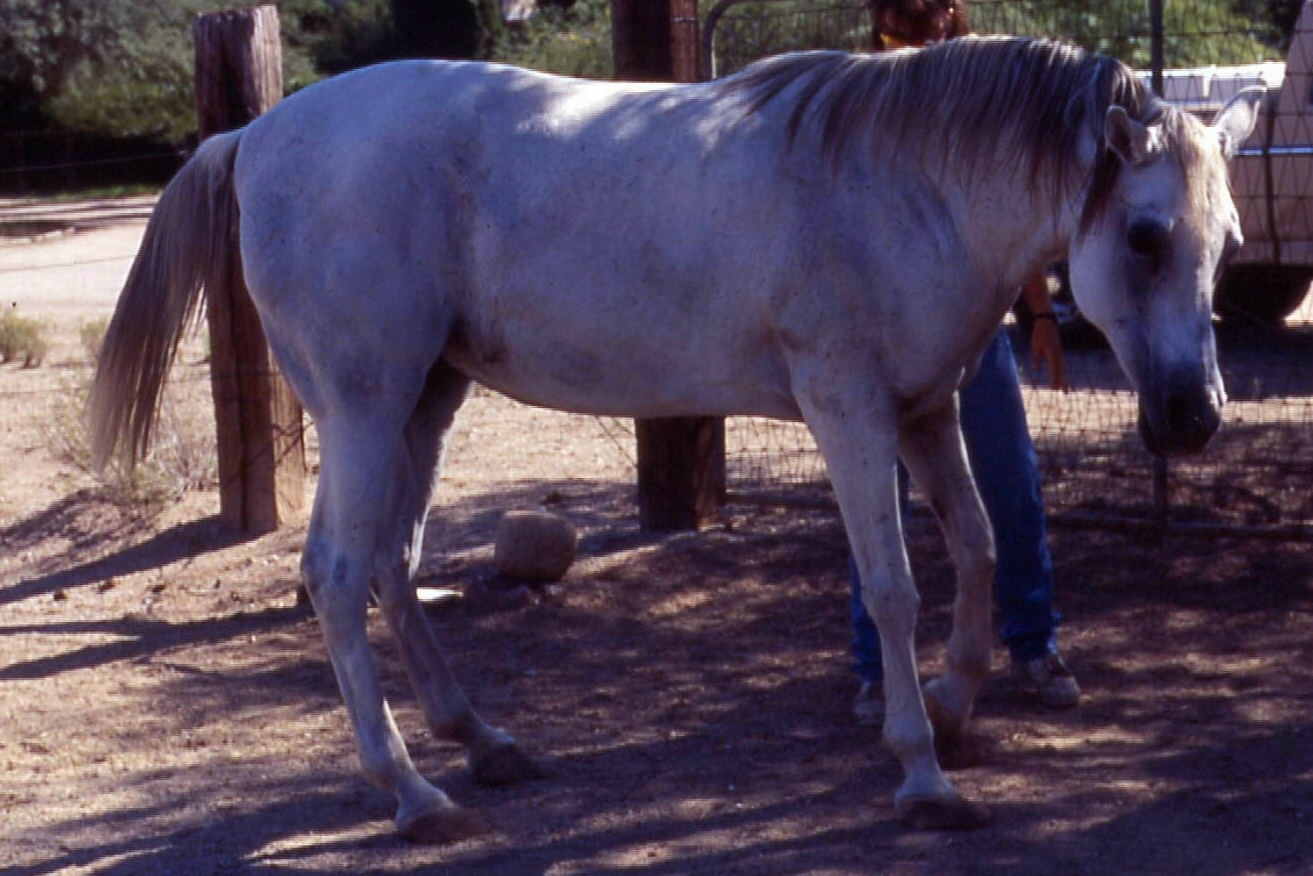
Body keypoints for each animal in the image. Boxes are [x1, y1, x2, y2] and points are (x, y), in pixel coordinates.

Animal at [92, 37, 1260, 840]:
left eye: (1228, 241)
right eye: (1144, 236)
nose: (1193, 417)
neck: (901, 184)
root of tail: (255, 137)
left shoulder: (926, 413)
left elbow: (977, 548)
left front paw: (953, 706)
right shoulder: (850, 414)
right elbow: (892, 586)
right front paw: (922, 773)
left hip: (423, 401)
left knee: (391, 563)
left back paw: (483, 743)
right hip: (366, 408)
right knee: (338, 574)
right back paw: (413, 795)